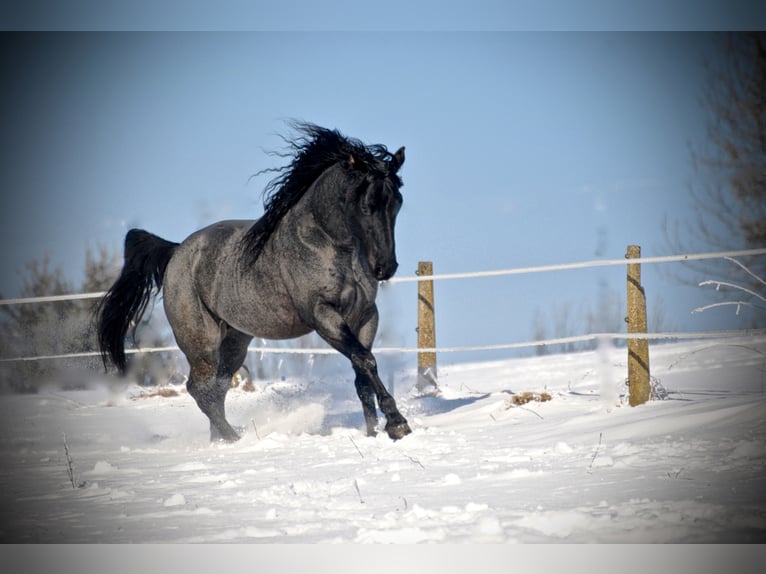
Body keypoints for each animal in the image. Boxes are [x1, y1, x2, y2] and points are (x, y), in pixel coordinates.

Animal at [96, 122, 411, 443]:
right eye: (367, 205)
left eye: (397, 203)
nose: (385, 267)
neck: (327, 242)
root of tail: (176, 252)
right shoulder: (323, 315)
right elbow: (365, 360)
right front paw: (397, 424)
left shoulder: (365, 315)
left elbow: (363, 372)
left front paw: (374, 432)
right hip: (201, 342)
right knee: (199, 389)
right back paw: (233, 438)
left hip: (235, 340)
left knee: (217, 388)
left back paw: (219, 440)